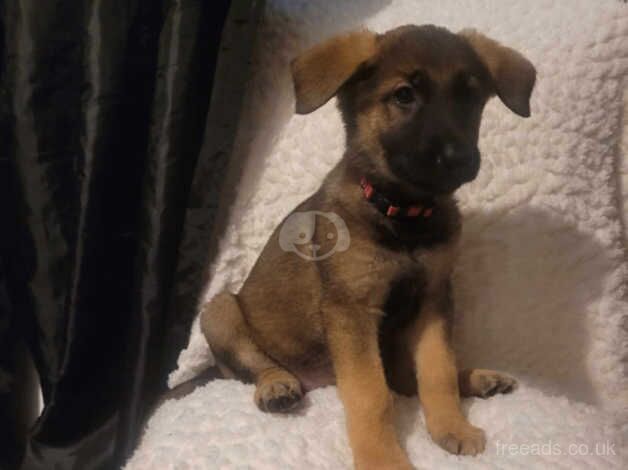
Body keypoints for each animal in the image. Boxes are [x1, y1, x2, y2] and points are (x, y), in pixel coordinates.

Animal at [201, 24, 536, 470]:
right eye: (404, 95)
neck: (403, 214)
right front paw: (383, 459)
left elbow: (437, 371)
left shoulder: (433, 299)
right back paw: (277, 386)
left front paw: (451, 426)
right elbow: (370, 395)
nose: (461, 158)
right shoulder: (352, 310)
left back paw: (480, 379)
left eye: (470, 97)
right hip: (219, 311)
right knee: (256, 366)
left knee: (408, 379)